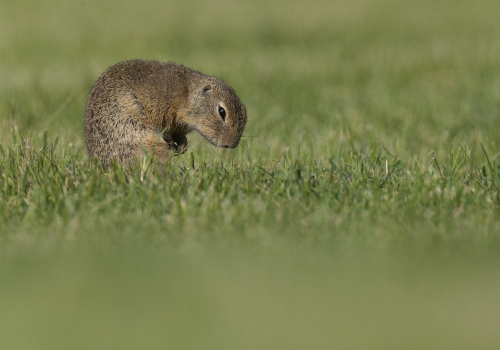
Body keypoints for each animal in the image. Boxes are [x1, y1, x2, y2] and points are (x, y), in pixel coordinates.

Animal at [85, 59, 247, 168]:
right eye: (222, 111)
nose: (231, 144)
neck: (187, 93)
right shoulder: (162, 110)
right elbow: (166, 130)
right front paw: (174, 144)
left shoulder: (179, 126)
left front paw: (182, 146)